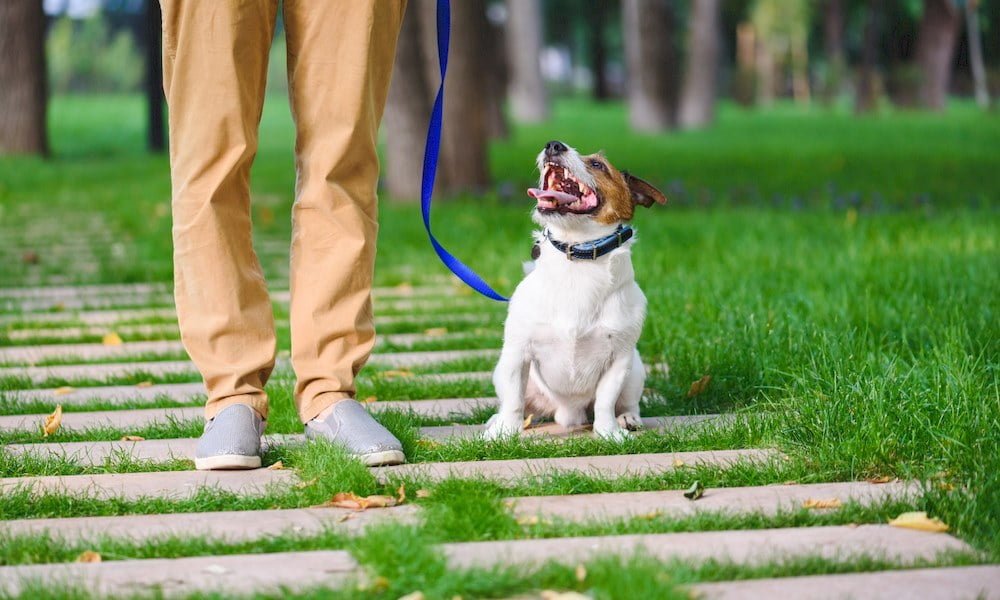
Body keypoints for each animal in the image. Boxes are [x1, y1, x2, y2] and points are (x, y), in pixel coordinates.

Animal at [482, 139, 664, 440]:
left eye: (598, 165)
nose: (554, 145)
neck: (578, 254)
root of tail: (567, 414)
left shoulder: (619, 360)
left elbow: (605, 401)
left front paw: (608, 432)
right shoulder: (517, 353)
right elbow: (513, 401)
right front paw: (504, 433)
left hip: (635, 370)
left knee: (627, 402)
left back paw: (628, 418)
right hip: (506, 371)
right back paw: (498, 421)